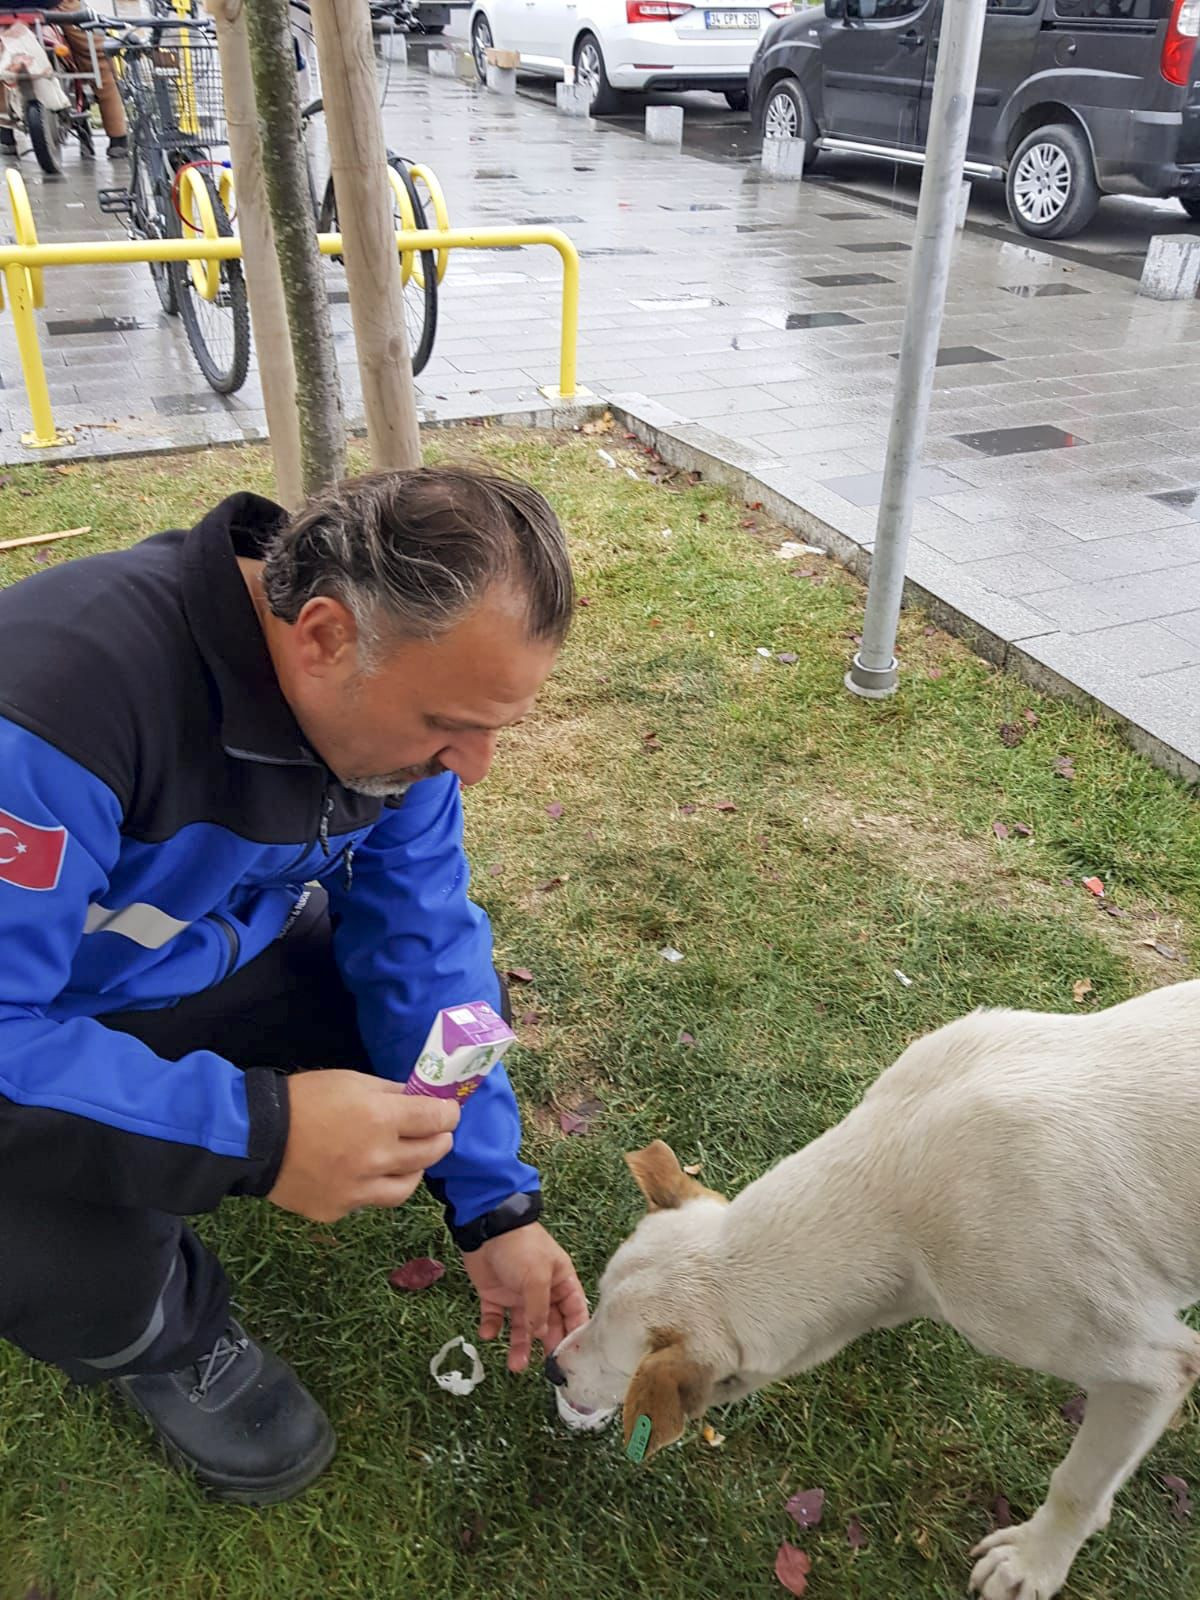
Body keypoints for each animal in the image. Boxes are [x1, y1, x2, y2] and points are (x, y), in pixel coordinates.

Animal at [553, 979, 1200, 1593]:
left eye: (620, 1367)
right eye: (593, 1306)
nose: (553, 1369)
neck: (893, 1189)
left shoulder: (1152, 1368)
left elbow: (1077, 1484)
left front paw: (1034, 1563)